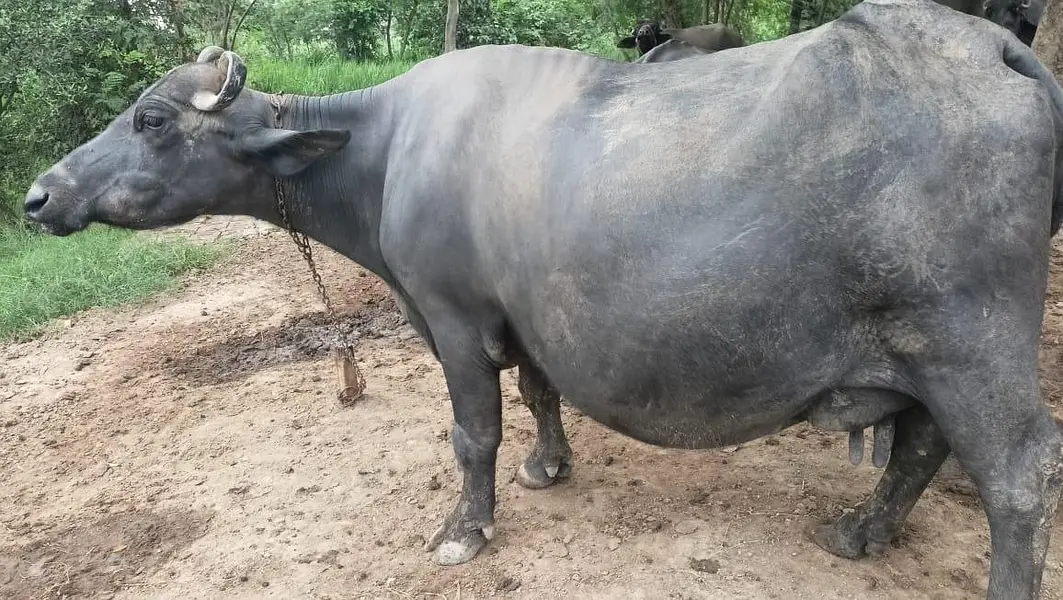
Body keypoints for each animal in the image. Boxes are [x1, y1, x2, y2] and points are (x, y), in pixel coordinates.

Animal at [24, 0, 1063, 597]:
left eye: (153, 118)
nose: (38, 194)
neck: (384, 153)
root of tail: (995, 47)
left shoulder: (447, 318)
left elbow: (472, 429)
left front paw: (464, 528)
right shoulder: (515, 318)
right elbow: (536, 392)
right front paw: (548, 467)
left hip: (970, 343)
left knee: (1016, 474)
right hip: (923, 351)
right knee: (922, 444)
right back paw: (860, 531)